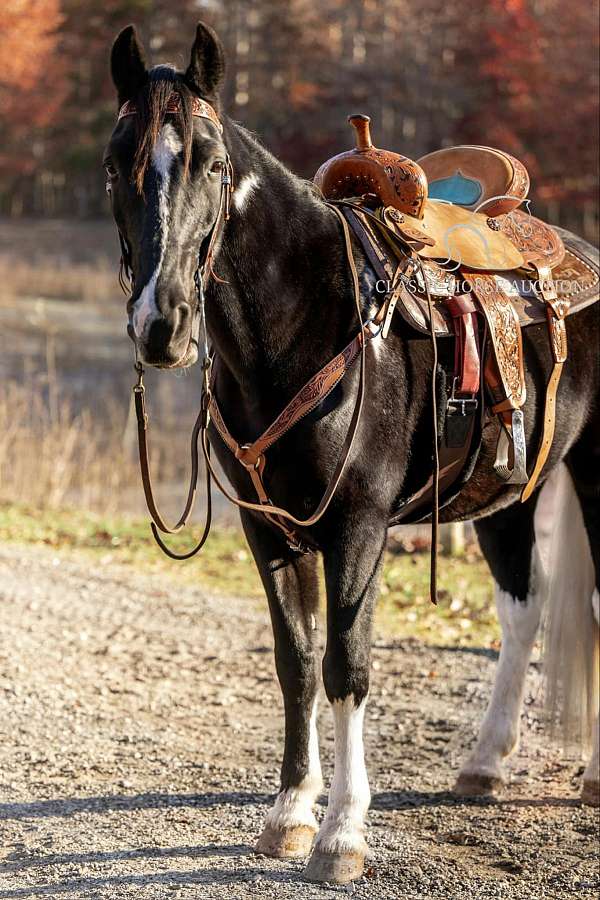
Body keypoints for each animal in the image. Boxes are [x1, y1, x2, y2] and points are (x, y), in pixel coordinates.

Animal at [106, 21, 600, 884]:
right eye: (114, 162)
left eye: (211, 161)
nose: (161, 324)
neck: (307, 322)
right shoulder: (269, 529)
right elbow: (297, 661)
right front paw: (288, 815)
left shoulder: (358, 528)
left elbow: (347, 665)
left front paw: (341, 833)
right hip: (512, 495)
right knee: (523, 608)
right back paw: (485, 764)